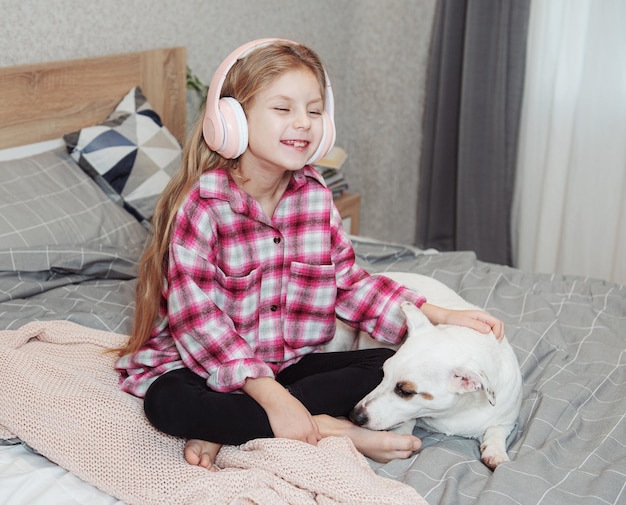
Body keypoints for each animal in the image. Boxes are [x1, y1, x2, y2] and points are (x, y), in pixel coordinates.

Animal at [330, 272, 520, 468]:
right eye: (383, 374)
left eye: (406, 391)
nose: (355, 416)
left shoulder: (507, 420)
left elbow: (496, 431)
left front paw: (496, 452)